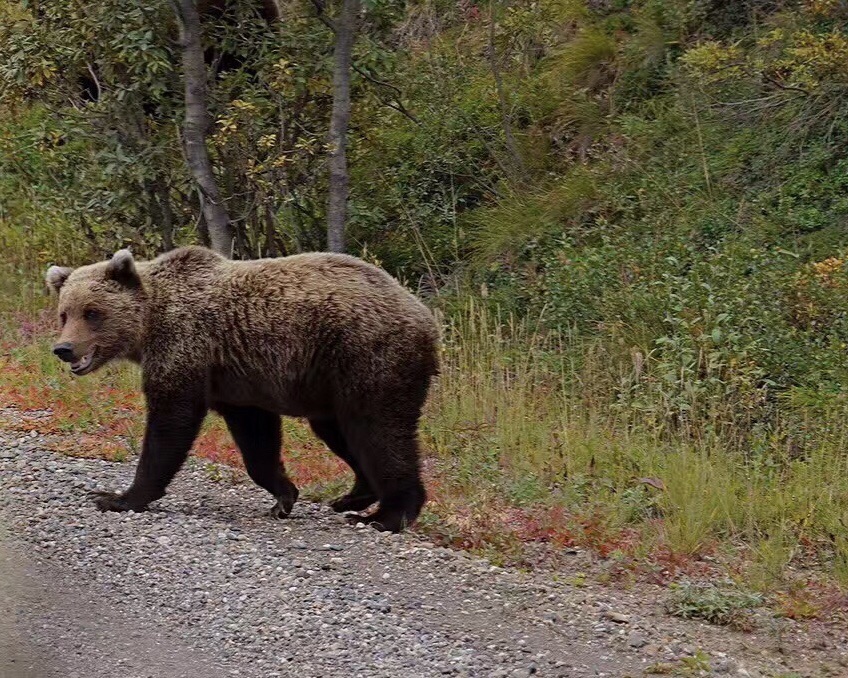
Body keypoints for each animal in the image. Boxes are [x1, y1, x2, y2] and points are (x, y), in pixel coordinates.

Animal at [44, 247, 438, 532]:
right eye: (65, 313)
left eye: (92, 312)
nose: (64, 348)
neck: (148, 327)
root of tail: (426, 317)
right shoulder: (235, 381)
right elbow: (256, 439)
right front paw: (284, 495)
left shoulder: (186, 349)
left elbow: (170, 423)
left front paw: (117, 497)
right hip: (330, 383)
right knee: (341, 431)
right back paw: (350, 498)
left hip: (367, 357)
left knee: (378, 430)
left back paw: (387, 516)